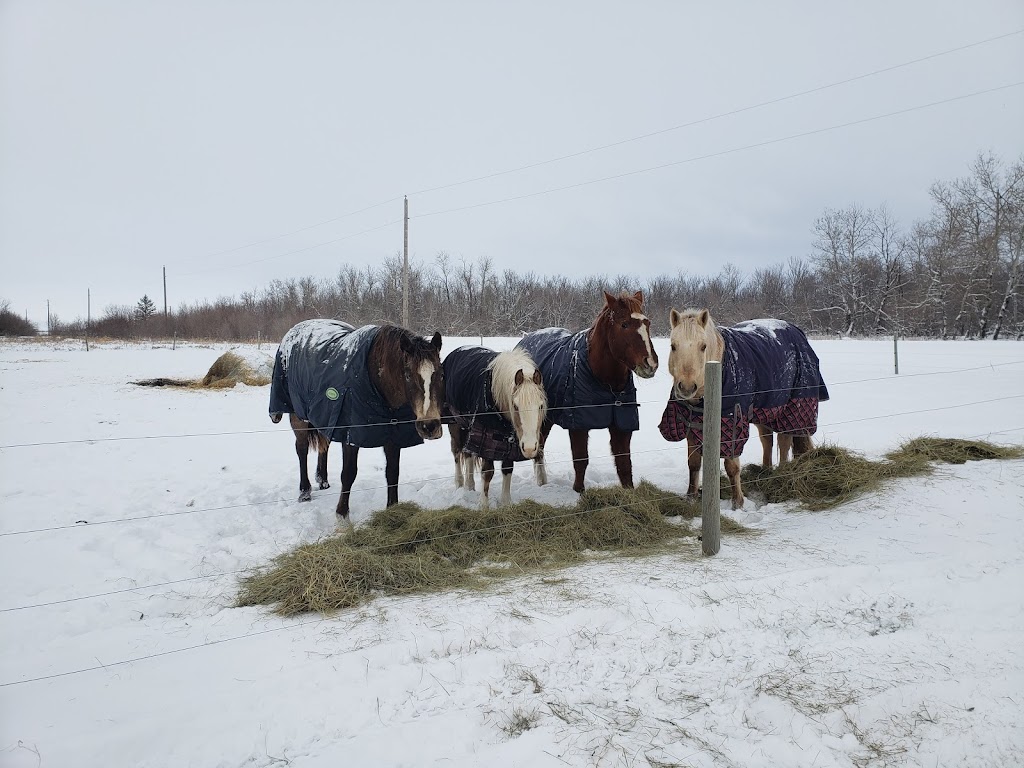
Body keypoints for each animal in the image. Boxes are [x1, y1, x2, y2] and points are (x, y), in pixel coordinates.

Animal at [268, 321, 444, 528]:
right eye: (408, 375)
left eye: (441, 374)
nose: (429, 426)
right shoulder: (351, 436)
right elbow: (349, 474)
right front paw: (342, 517)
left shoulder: (393, 434)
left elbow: (392, 472)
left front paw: (392, 509)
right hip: (299, 417)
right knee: (302, 450)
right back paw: (305, 491)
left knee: (323, 446)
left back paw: (323, 480)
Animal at [442, 348, 548, 512]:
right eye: (515, 406)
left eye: (541, 405)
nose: (530, 448)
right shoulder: (486, 439)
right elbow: (487, 472)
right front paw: (483, 505)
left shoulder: (509, 440)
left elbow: (507, 469)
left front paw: (506, 503)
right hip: (455, 425)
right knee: (457, 452)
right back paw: (460, 484)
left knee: (468, 454)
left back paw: (469, 486)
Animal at [516, 288, 659, 493]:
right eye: (624, 324)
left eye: (647, 323)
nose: (650, 364)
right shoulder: (578, 426)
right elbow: (581, 459)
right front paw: (578, 491)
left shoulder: (622, 425)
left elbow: (624, 463)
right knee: (539, 447)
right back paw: (542, 483)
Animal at [659, 307, 827, 512]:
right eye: (673, 346)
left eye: (703, 346)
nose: (687, 387)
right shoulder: (691, 425)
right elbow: (694, 463)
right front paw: (691, 497)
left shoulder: (732, 426)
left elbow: (732, 466)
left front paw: (737, 503)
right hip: (766, 410)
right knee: (767, 440)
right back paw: (765, 472)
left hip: (790, 409)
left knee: (784, 441)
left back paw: (781, 474)